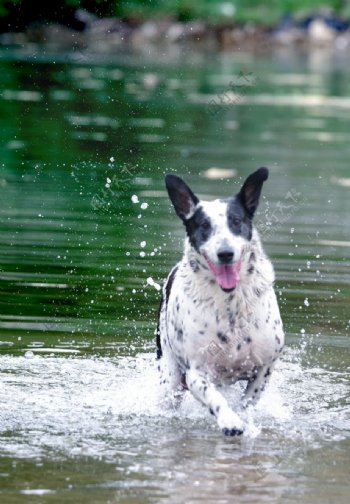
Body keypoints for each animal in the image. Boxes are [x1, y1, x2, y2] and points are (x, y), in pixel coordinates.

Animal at [156, 167, 284, 436]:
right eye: (204, 225)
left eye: (236, 221)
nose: (225, 253)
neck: (230, 302)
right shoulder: (196, 372)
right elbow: (214, 397)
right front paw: (230, 420)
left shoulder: (265, 367)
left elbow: (248, 401)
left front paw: (243, 415)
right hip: (169, 375)